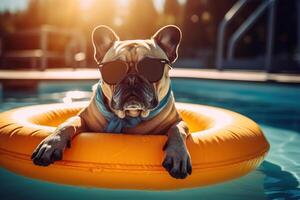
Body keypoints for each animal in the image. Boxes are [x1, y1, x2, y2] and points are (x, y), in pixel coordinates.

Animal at [31, 25, 192, 180]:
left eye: (150, 68)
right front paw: (51, 143)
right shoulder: (82, 118)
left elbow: (177, 130)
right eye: (114, 69)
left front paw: (178, 155)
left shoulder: (179, 121)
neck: (129, 116)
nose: (131, 79)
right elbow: (67, 123)